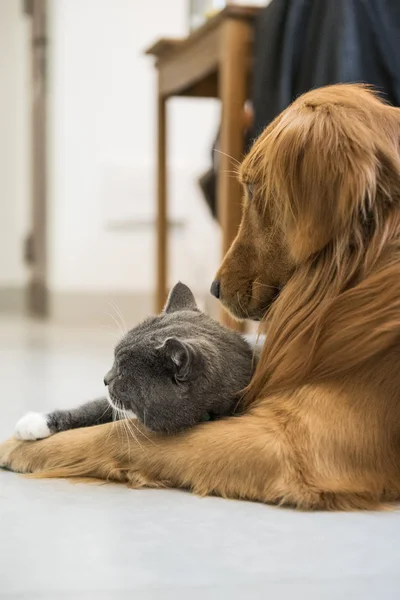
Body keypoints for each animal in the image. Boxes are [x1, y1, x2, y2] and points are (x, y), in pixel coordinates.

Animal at [14, 282, 258, 440]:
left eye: (123, 371)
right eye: (114, 359)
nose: (105, 379)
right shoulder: (112, 404)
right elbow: (93, 408)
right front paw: (33, 423)